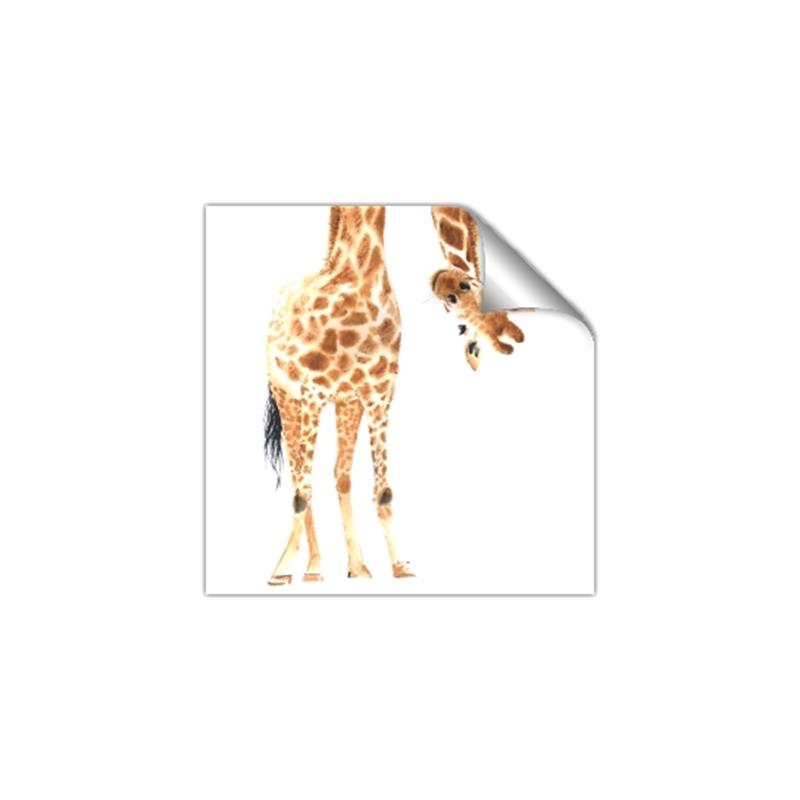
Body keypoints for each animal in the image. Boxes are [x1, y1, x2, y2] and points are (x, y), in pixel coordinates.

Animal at [264, 205, 414, 584]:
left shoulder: (379, 393)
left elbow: (383, 490)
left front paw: (401, 566)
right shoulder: (312, 393)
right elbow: (302, 492)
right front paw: (281, 571)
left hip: (346, 403)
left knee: (339, 474)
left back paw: (357, 567)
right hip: (288, 399)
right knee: (299, 476)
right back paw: (311, 568)